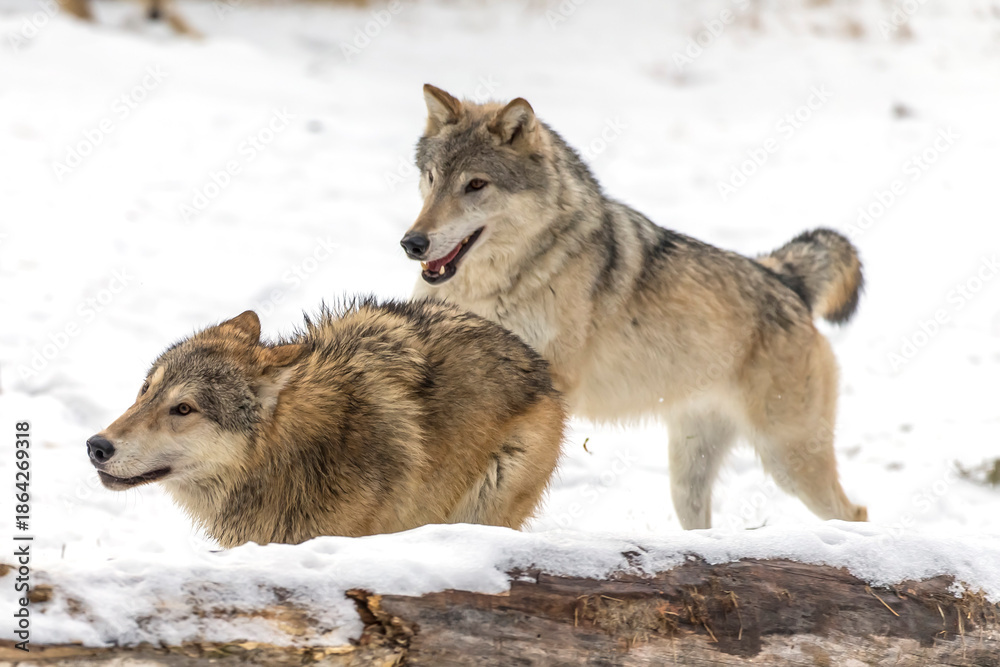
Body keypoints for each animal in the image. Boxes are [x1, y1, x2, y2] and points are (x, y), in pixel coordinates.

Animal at [400, 84, 867, 530]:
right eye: (432, 178)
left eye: (476, 185)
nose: (412, 243)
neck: (501, 282)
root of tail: (786, 280)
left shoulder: (554, 377)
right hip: (689, 474)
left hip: (788, 458)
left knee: (856, 512)